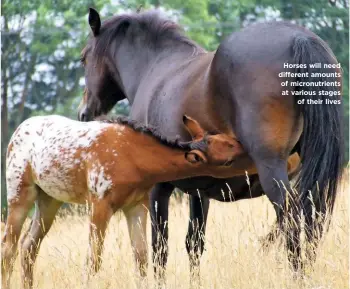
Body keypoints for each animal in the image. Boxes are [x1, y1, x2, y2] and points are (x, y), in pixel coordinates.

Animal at [2, 113, 243, 286]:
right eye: (227, 161)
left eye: (225, 138)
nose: (244, 146)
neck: (131, 155)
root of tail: (17, 131)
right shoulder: (99, 204)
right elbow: (93, 260)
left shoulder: (136, 206)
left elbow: (141, 258)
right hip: (20, 194)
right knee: (9, 247)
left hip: (49, 200)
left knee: (28, 247)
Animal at [78, 8, 344, 282]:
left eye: (84, 58)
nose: (84, 113)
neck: (154, 69)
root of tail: (298, 39)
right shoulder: (199, 190)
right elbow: (194, 243)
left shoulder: (158, 189)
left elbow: (159, 247)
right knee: (313, 218)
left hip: (272, 169)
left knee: (291, 221)